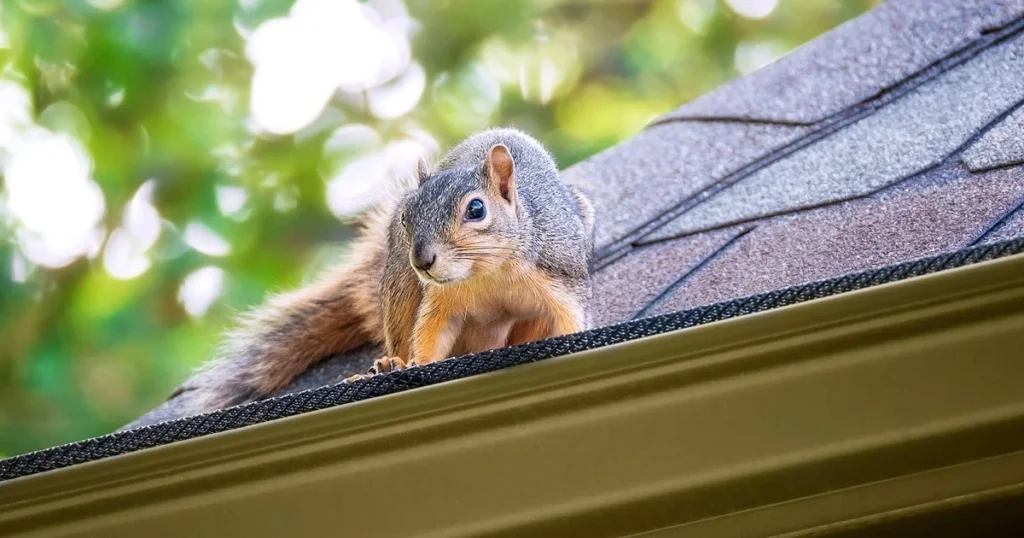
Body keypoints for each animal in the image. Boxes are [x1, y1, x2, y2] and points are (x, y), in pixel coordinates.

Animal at [180, 128, 598, 414]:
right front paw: (415, 364)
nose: (423, 260)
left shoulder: (560, 280)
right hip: (398, 285)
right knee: (399, 328)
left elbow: (570, 319)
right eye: (405, 216)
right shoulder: (442, 299)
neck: (488, 273)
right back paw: (390, 362)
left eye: (477, 209)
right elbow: (430, 333)